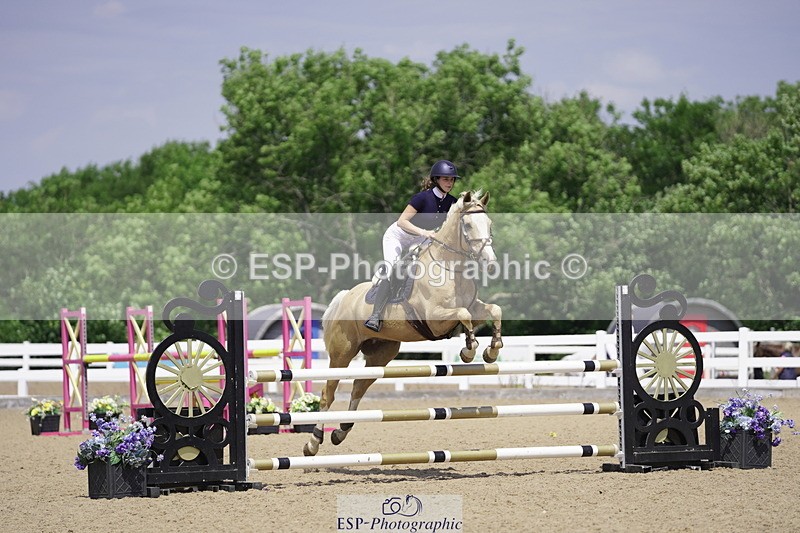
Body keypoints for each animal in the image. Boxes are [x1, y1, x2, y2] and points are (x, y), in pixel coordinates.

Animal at [303, 190, 503, 456]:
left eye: (489, 224)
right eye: (468, 225)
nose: (490, 262)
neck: (451, 269)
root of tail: (345, 297)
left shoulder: (474, 308)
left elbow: (493, 310)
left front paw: (492, 351)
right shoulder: (436, 318)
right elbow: (464, 315)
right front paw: (469, 351)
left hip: (381, 354)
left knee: (358, 387)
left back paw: (340, 432)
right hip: (342, 354)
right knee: (328, 393)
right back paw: (313, 442)